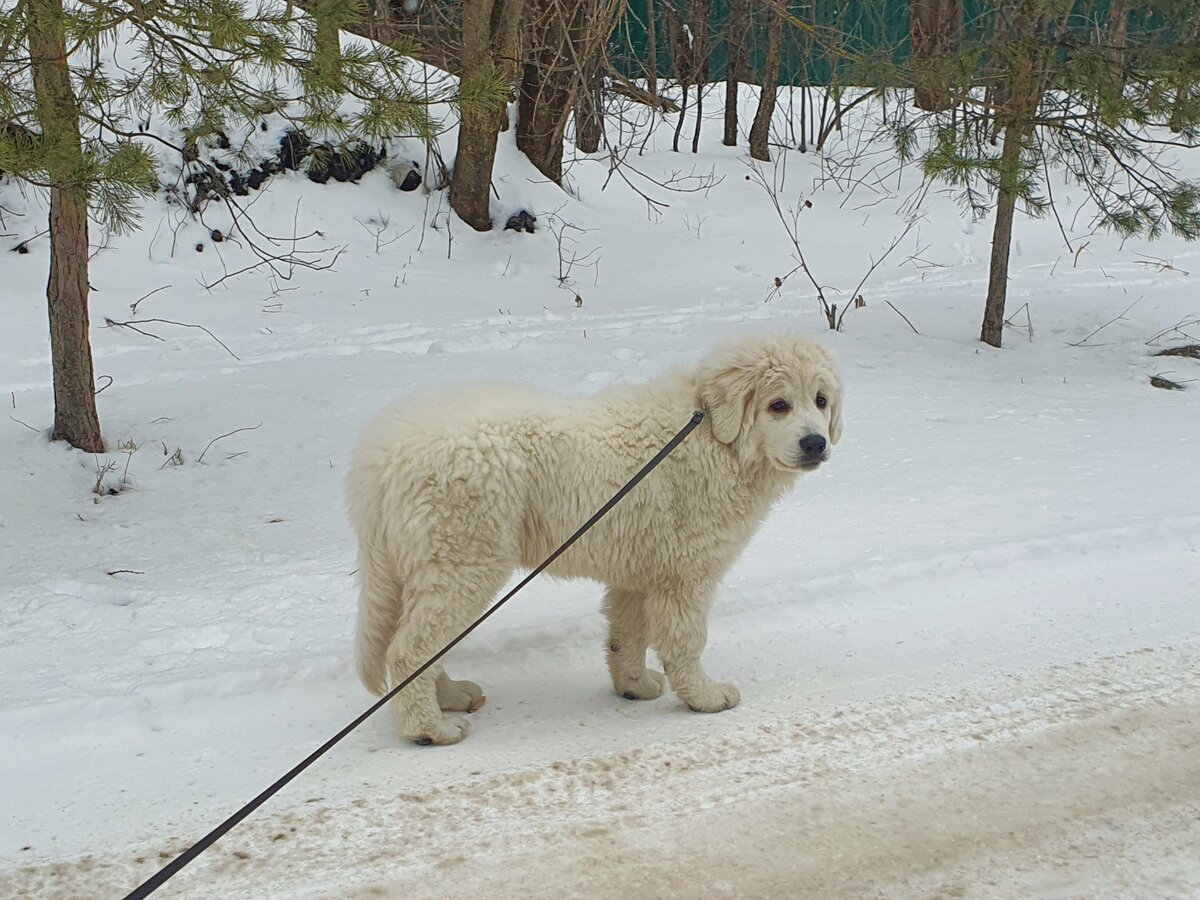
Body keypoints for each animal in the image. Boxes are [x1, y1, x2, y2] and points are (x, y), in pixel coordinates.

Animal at [348, 336, 844, 744]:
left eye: (821, 401)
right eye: (778, 405)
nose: (816, 443)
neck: (713, 436)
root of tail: (380, 458)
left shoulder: (640, 573)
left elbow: (627, 635)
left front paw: (634, 686)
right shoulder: (686, 574)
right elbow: (686, 641)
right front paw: (704, 697)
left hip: (425, 568)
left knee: (423, 644)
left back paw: (450, 696)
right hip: (464, 561)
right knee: (410, 649)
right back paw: (429, 728)